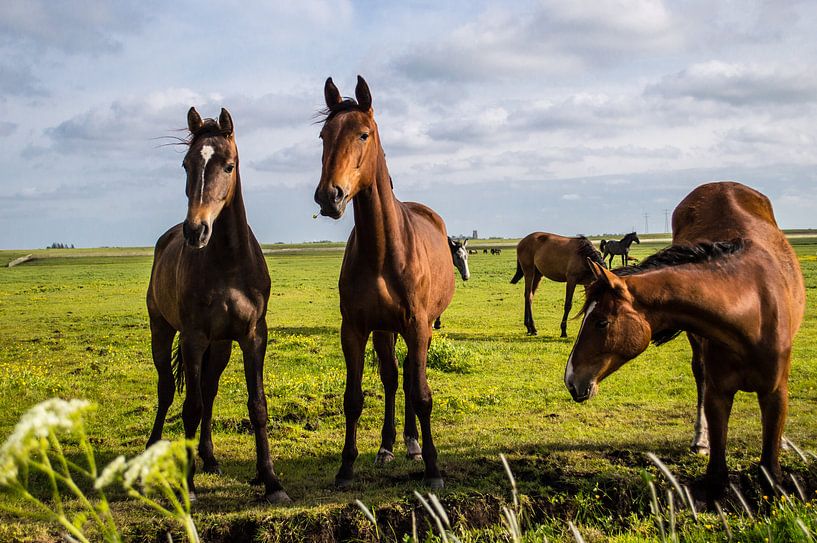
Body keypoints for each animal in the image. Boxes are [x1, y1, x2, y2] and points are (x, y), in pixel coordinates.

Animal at [146, 108, 289, 503]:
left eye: (228, 166)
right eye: (186, 164)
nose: (196, 230)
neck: (228, 262)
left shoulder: (253, 336)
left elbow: (256, 406)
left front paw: (271, 481)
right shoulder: (193, 338)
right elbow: (190, 407)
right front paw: (189, 486)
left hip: (221, 345)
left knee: (208, 390)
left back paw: (208, 457)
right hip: (162, 331)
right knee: (167, 388)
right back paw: (153, 447)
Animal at [313, 76, 455, 489]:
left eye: (363, 134)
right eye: (324, 136)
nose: (329, 196)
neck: (381, 252)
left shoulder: (418, 326)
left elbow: (421, 393)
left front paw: (434, 469)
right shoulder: (356, 328)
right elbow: (354, 397)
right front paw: (346, 468)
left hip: (418, 327)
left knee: (407, 376)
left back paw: (413, 444)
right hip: (384, 329)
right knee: (393, 377)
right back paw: (389, 445)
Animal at [564, 182, 805, 499]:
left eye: (601, 322)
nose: (570, 380)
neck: (751, 311)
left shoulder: (775, 393)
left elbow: (770, 468)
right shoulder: (718, 394)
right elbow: (716, 476)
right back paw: (700, 440)